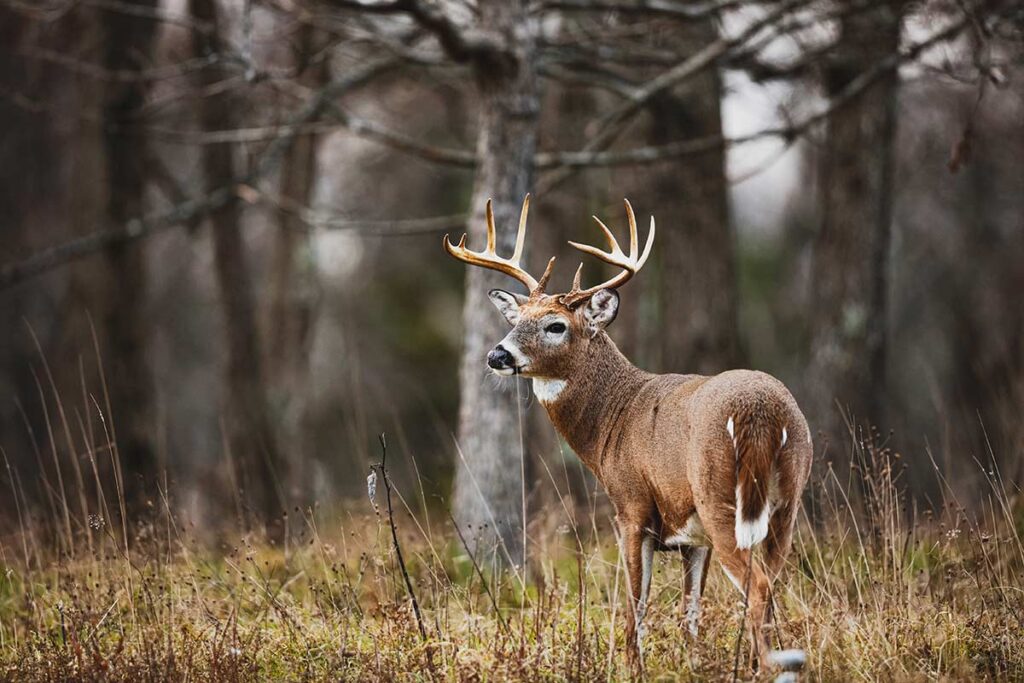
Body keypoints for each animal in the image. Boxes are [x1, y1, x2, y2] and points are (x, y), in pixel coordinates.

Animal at [444, 193, 811, 671]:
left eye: (556, 325)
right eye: (516, 319)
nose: (497, 355)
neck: (612, 422)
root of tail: (762, 412)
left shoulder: (631, 506)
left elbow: (636, 602)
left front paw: (632, 665)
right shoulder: (693, 537)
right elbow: (690, 612)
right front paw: (691, 665)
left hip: (720, 497)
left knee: (759, 587)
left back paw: (766, 668)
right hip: (786, 502)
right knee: (772, 583)